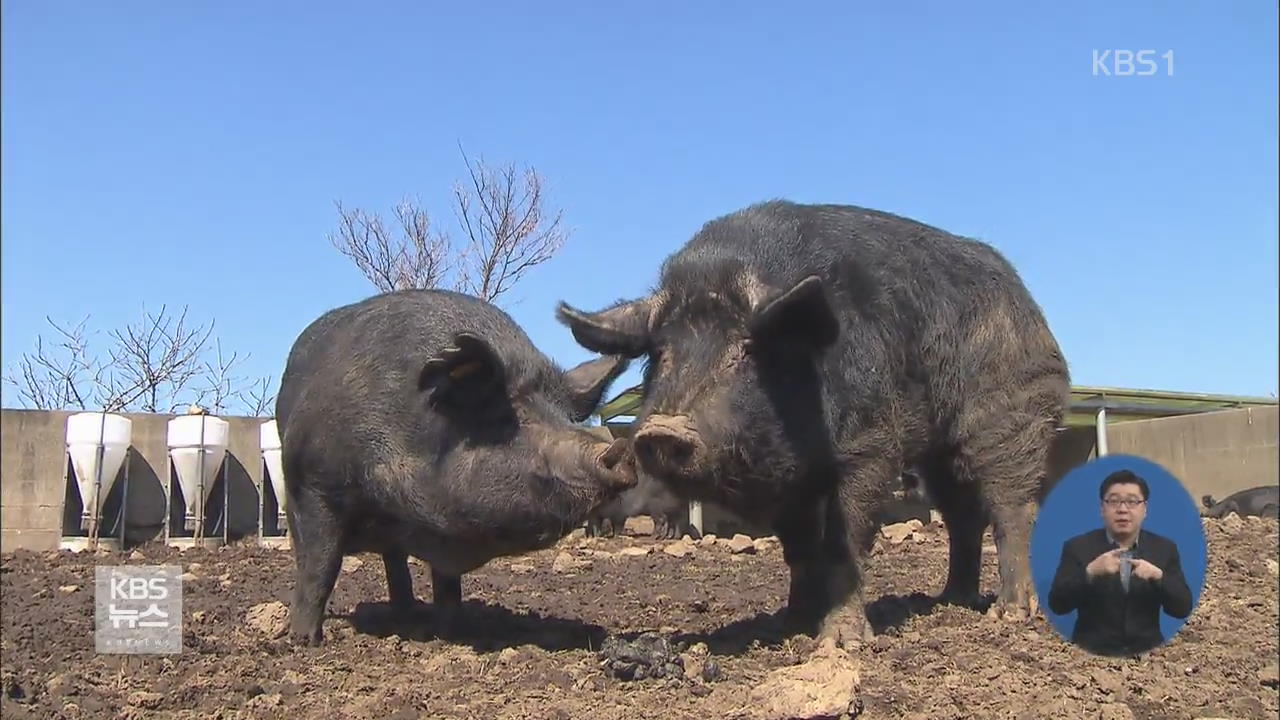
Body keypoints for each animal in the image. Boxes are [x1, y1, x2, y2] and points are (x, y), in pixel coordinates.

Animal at [276, 286, 634, 645]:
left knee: (395, 562)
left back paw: (407, 614)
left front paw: (451, 632)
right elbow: (321, 566)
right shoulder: (314, 485)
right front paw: (305, 641)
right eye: (503, 418)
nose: (621, 449)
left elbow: (447, 586)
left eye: (568, 418)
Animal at [560, 197, 1070, 645]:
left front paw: (839, 641)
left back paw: (1010, 613)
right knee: (963, 516)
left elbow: (845, 540)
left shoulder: (870, 445)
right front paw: (791, 626)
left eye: (747, 349)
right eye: (661, 352)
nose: (664, 430)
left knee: (1012, 508)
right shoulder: (793, 483)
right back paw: (951, 599)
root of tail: (1032, 311)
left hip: (1012, 415)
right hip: (940, 453)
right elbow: (799, 549)